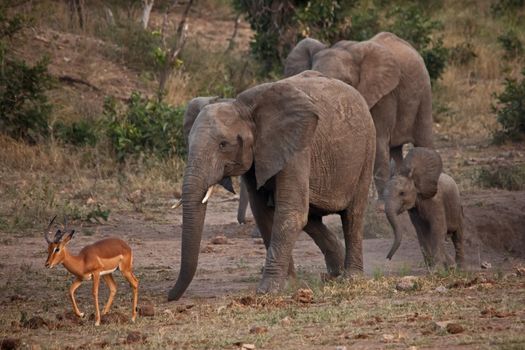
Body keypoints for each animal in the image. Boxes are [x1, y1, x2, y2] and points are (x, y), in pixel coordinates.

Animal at [166, 71, 374, 300]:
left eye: (223, 145)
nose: (169, 296)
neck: (243, 107)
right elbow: (264, 213)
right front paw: (288, 285)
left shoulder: (296, 147)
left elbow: (290, 213)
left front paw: (266, 291)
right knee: (311, 217)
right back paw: (334, 273)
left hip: (367, 150)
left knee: (352, 215)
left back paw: (350, 278)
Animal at [284, 31, 432, 201]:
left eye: (348, 83)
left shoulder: (384, 97)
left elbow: (377, 142)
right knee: (395, 150)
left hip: (424, 94)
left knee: (424, 141)